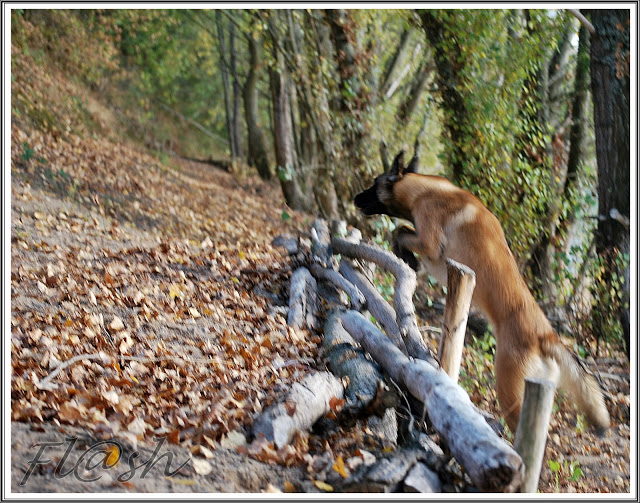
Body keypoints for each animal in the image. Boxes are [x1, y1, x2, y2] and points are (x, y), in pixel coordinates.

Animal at [356, 150, 608, 434]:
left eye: (374, 183)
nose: (355, 198)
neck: (423, 190)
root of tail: (546, 337)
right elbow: (400, 230)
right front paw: (407, 258)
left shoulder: (429, 244)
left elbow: (398, 231)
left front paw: (406, 256)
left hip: (508, 390)